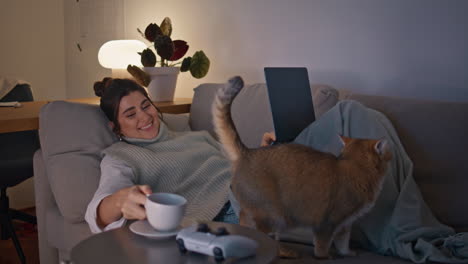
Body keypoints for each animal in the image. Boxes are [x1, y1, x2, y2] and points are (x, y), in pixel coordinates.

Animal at [212, 76, 392, 258]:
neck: (353, 166)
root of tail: (247, 152)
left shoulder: (345, 225)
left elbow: (343, 243)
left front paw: (347, 253)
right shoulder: (327, 223)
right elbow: (322, 246)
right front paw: (326, 256)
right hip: (273, 215)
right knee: (255, 230)